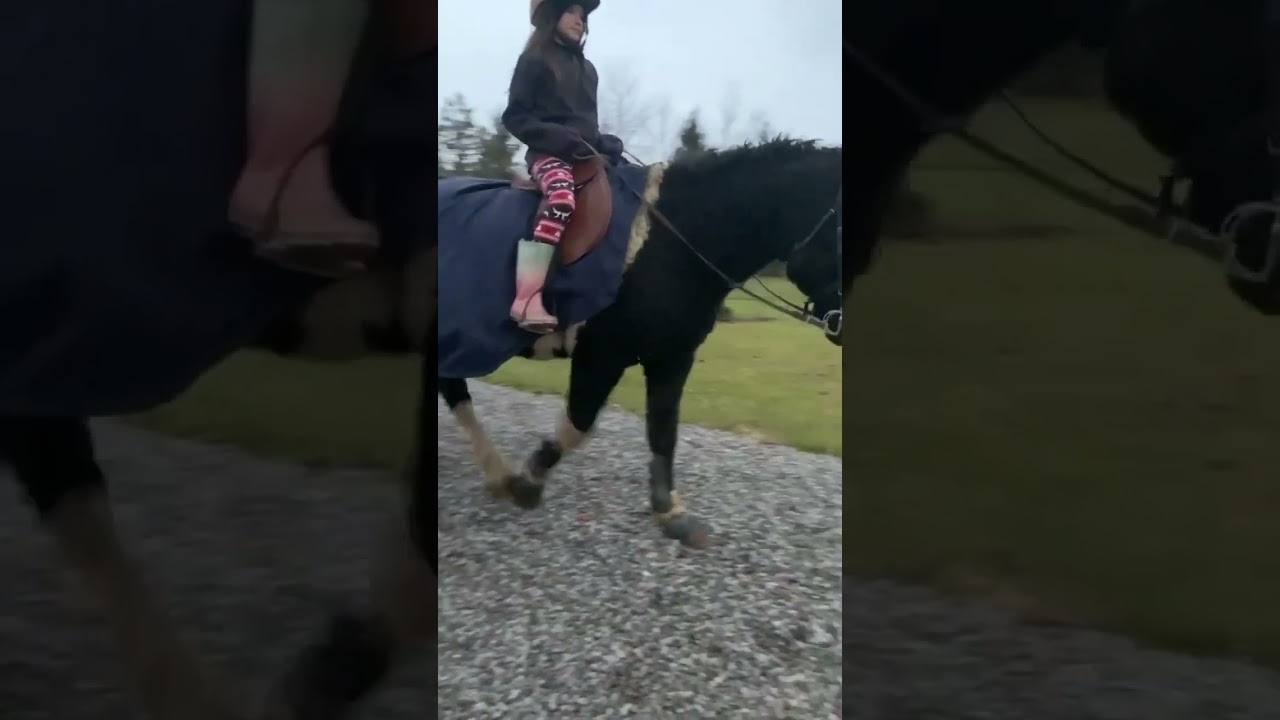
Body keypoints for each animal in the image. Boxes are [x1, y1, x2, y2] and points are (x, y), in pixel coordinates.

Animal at [435, 138, 844, 548]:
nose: (842, 326)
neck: (672, 242)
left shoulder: (673, 357)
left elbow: (664, 431)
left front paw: (670, 512)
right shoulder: (601, 355)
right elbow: (578, 424)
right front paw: (528, 481)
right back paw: (499, 474)